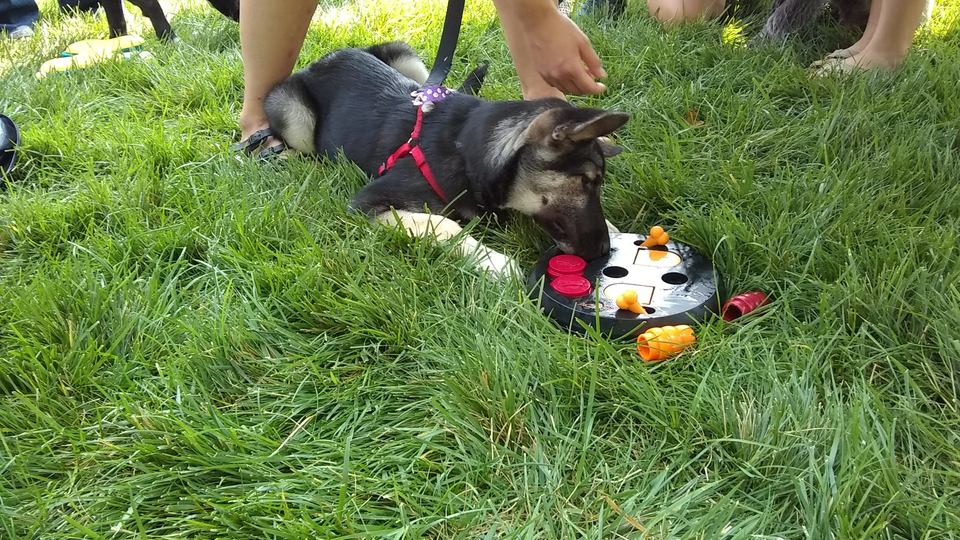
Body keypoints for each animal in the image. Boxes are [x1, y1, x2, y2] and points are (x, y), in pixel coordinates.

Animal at [258, 42, 632, 276]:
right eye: (586, 180)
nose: (603, 252)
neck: (464, 150)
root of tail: (329, 56)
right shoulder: (368, 202)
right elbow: (441, 223)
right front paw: (495, 263)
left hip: (408, 60)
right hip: (294, 113)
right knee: (296, 142)